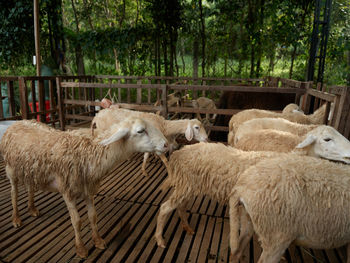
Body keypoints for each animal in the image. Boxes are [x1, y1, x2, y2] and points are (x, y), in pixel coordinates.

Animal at [0, 118, 168, 258]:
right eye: (140, 131)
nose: (166, 145)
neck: (88, 154)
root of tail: (16, 122)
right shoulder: (67, 191)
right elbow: (77, 221)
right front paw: (80, 249)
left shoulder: (88, 189)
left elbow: (93, 216)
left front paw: (98, 241)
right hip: (11, 168)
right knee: (14, 192)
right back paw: (16, 218)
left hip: (29, 169)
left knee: (30, 187)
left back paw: (32, 209)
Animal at [155, 138, 350, 250]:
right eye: (327, 138)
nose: (348, 154)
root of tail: (179, 153)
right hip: (186, 184)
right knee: (165, 208)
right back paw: (160, 240)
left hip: (188, 185)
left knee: (180, 206)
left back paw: (187, 228)